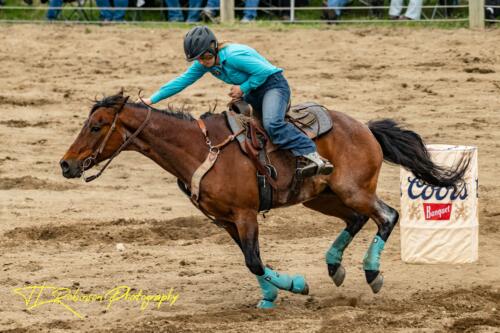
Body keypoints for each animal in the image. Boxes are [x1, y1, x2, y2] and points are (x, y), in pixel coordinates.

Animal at [59, 91, 468, 308]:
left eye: (96, 126)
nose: (66, 164)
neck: (199, 149)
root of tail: (365, 128)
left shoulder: (245, 214)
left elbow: (254, 260)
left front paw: (293, 286)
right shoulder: (224, 220)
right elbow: (249, 260)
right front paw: (271, 295)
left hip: (353, 190)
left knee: (387, 215)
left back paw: (371, 273)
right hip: (321, 196)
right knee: (357, 220)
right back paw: (335, 267)